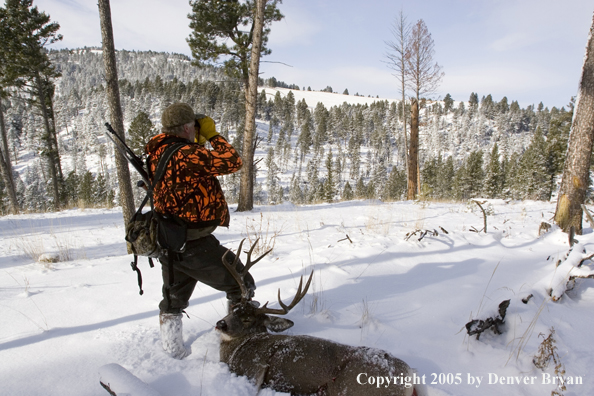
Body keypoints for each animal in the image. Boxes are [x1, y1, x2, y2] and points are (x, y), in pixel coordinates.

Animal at [215, 240, 414, 394]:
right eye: (234, 308)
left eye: (247, 319)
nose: (220, 324)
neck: (237, 348)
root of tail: (410, 376)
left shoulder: (254, 367)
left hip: (351, 387)